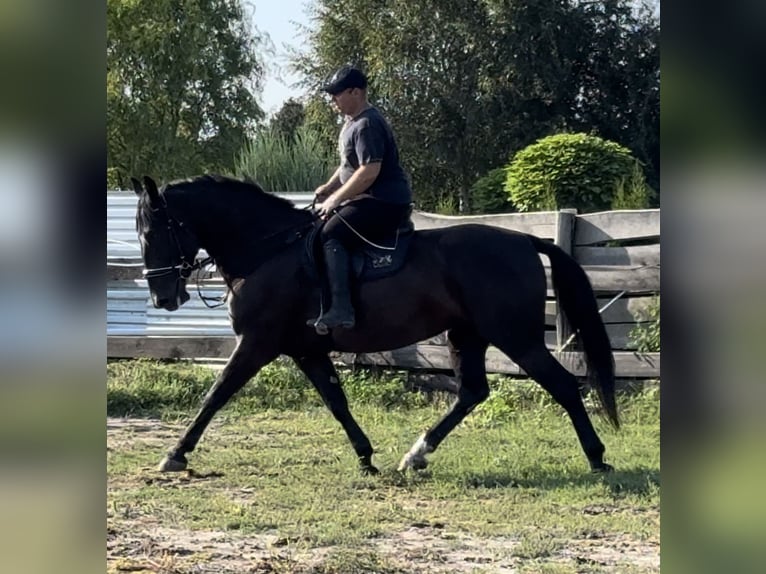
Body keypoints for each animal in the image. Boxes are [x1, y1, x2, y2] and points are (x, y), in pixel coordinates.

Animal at [134, 174, 616, 476]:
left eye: (152, 233)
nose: (163, 298)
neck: (268, 252)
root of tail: (524, 239)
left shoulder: (257, 344)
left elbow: (216, 395)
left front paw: (175, 454)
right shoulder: (306, 349)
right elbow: (336, 401)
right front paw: (365, 457)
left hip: (516, 336)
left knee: (562, 385)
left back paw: (597, 458)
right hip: (468, 335)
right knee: (473, 393)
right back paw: (416, 455)